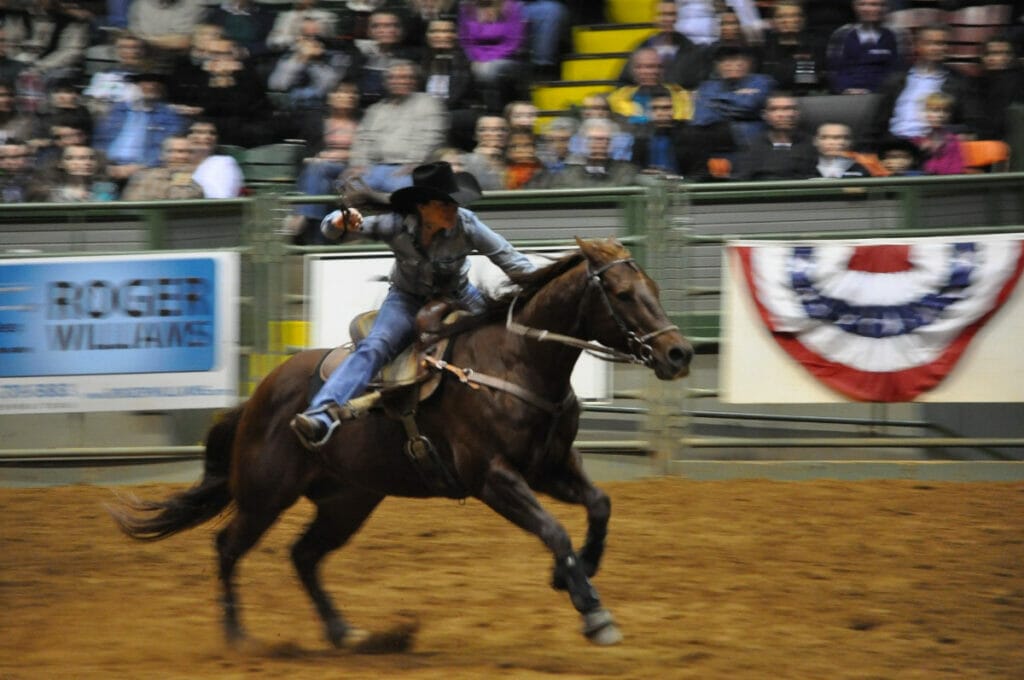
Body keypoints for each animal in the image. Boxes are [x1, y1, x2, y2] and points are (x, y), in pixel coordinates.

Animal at [108, 237, 692, 647]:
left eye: (656, 291)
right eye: (622, 295)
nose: (679, 354)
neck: (514, 362)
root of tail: (256, 399)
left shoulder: (549, 465)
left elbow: (600, 505)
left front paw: (576, 574)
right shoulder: (493, 478)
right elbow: (553, 530)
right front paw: (593, 612)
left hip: (348, 500)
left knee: (304, 556)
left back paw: (344, 632)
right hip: (264, 494)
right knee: (228, 548)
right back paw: (235, 637)